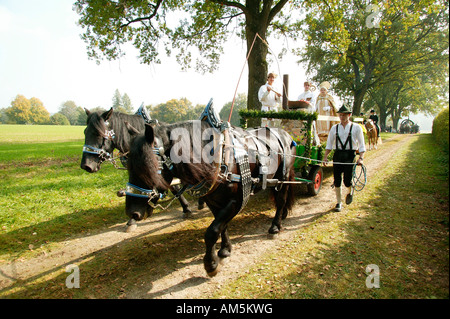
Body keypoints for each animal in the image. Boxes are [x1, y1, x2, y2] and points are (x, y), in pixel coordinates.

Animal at [125, 120, 298, 278]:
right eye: (128, 166)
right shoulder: (212, 202)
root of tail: (285, 133)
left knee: (281, 200)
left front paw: (211, 264)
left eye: (149, 167)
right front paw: (225, 250)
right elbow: (222, 227)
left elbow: (212, 231)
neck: (219, 159)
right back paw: (282, 216)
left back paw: (275, 226)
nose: (132, 212)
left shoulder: (235, 201)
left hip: (284, 177)